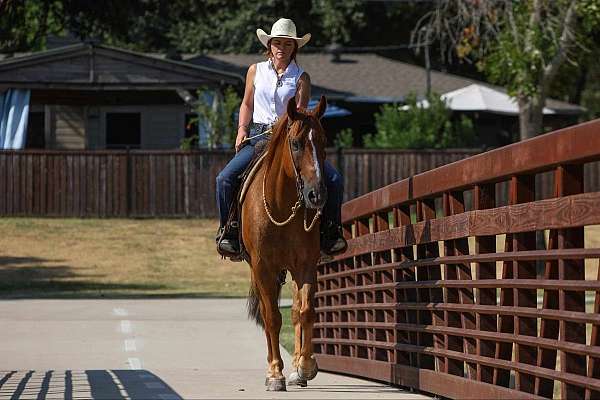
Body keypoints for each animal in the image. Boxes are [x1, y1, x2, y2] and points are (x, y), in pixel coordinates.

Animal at [241, 95, 328, 390]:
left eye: (323, 141)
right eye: (296, 143)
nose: (316, 195)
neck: (280, 205)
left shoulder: (305, 264)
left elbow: (305, 311)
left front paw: (305, 366)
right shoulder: (263, 268)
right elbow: (272, 318)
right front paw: (275, 374)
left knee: (295, 312)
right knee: (269, 314)